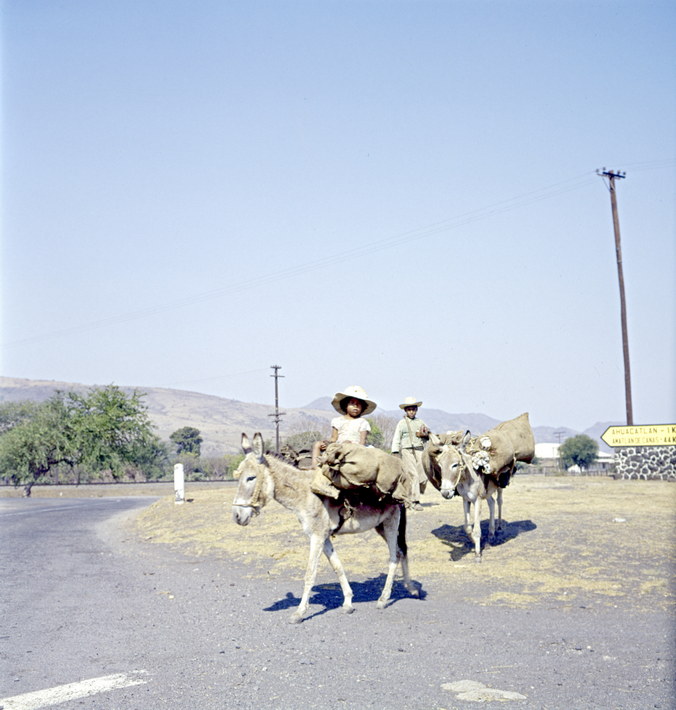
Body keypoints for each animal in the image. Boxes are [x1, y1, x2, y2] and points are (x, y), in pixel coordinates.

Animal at [231, 433, 416, 623]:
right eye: (238, 477)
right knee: (401, 551)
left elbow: (310, 573)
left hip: (391, 524)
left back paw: (383, 599)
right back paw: (410, 588)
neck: (305, 493)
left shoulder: (317, 536)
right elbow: (337, 566)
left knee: (394, 556)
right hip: (380, 526)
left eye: (251, 478)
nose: (237, 516)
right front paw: (348, 603)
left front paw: (300, 612)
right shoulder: (324, 536)